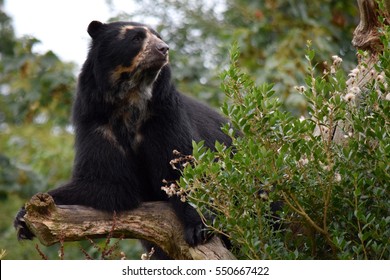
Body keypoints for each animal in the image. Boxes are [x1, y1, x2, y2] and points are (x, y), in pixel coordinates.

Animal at [13, 19, 233, 256]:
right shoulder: (98, 124)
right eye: (136, 38)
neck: (131, 97)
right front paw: (23, 219)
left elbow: (183, 169)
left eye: (158, 37)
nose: (164, 49)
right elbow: (107, 183)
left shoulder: (164, 116)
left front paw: (199, 229)